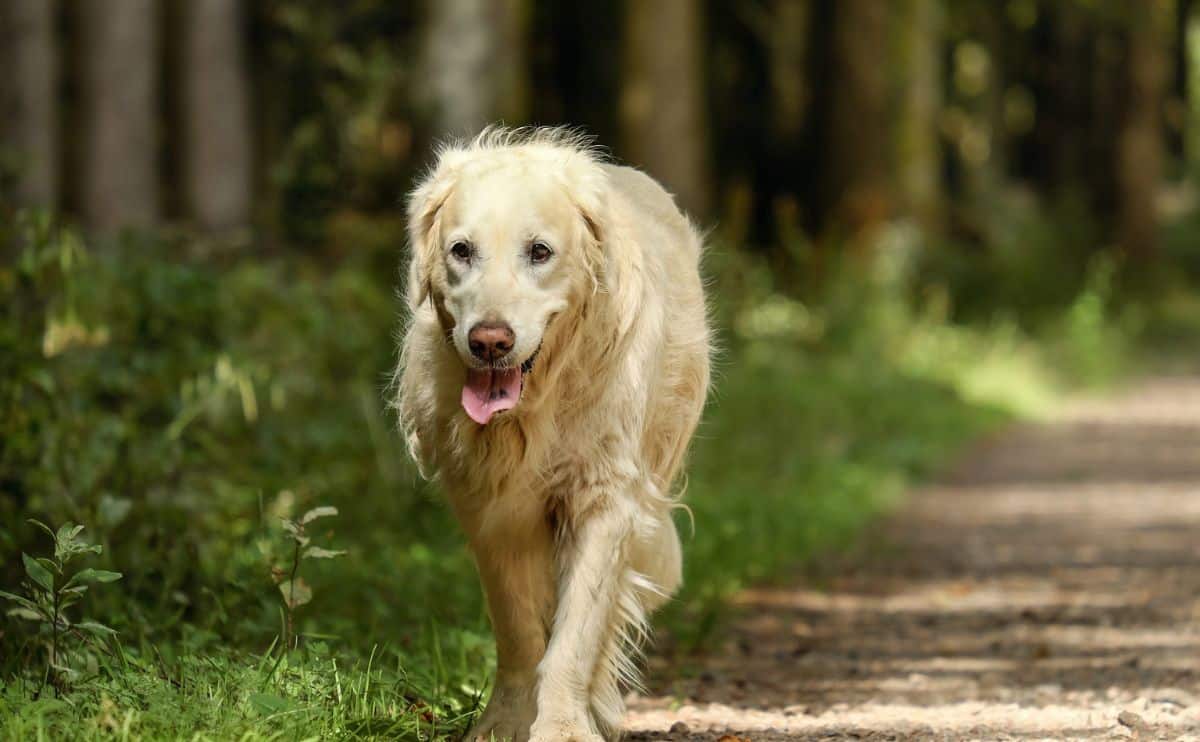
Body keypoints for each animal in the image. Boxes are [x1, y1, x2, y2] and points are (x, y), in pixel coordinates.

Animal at [393, 128, 710, 739]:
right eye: (461, 251)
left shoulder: (606, 499)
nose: (490, 341)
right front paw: (506, 721)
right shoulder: (489, 507)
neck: (535, 407)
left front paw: (564, 725)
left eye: (539, 252)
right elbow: (518, 629)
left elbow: (576, 635)